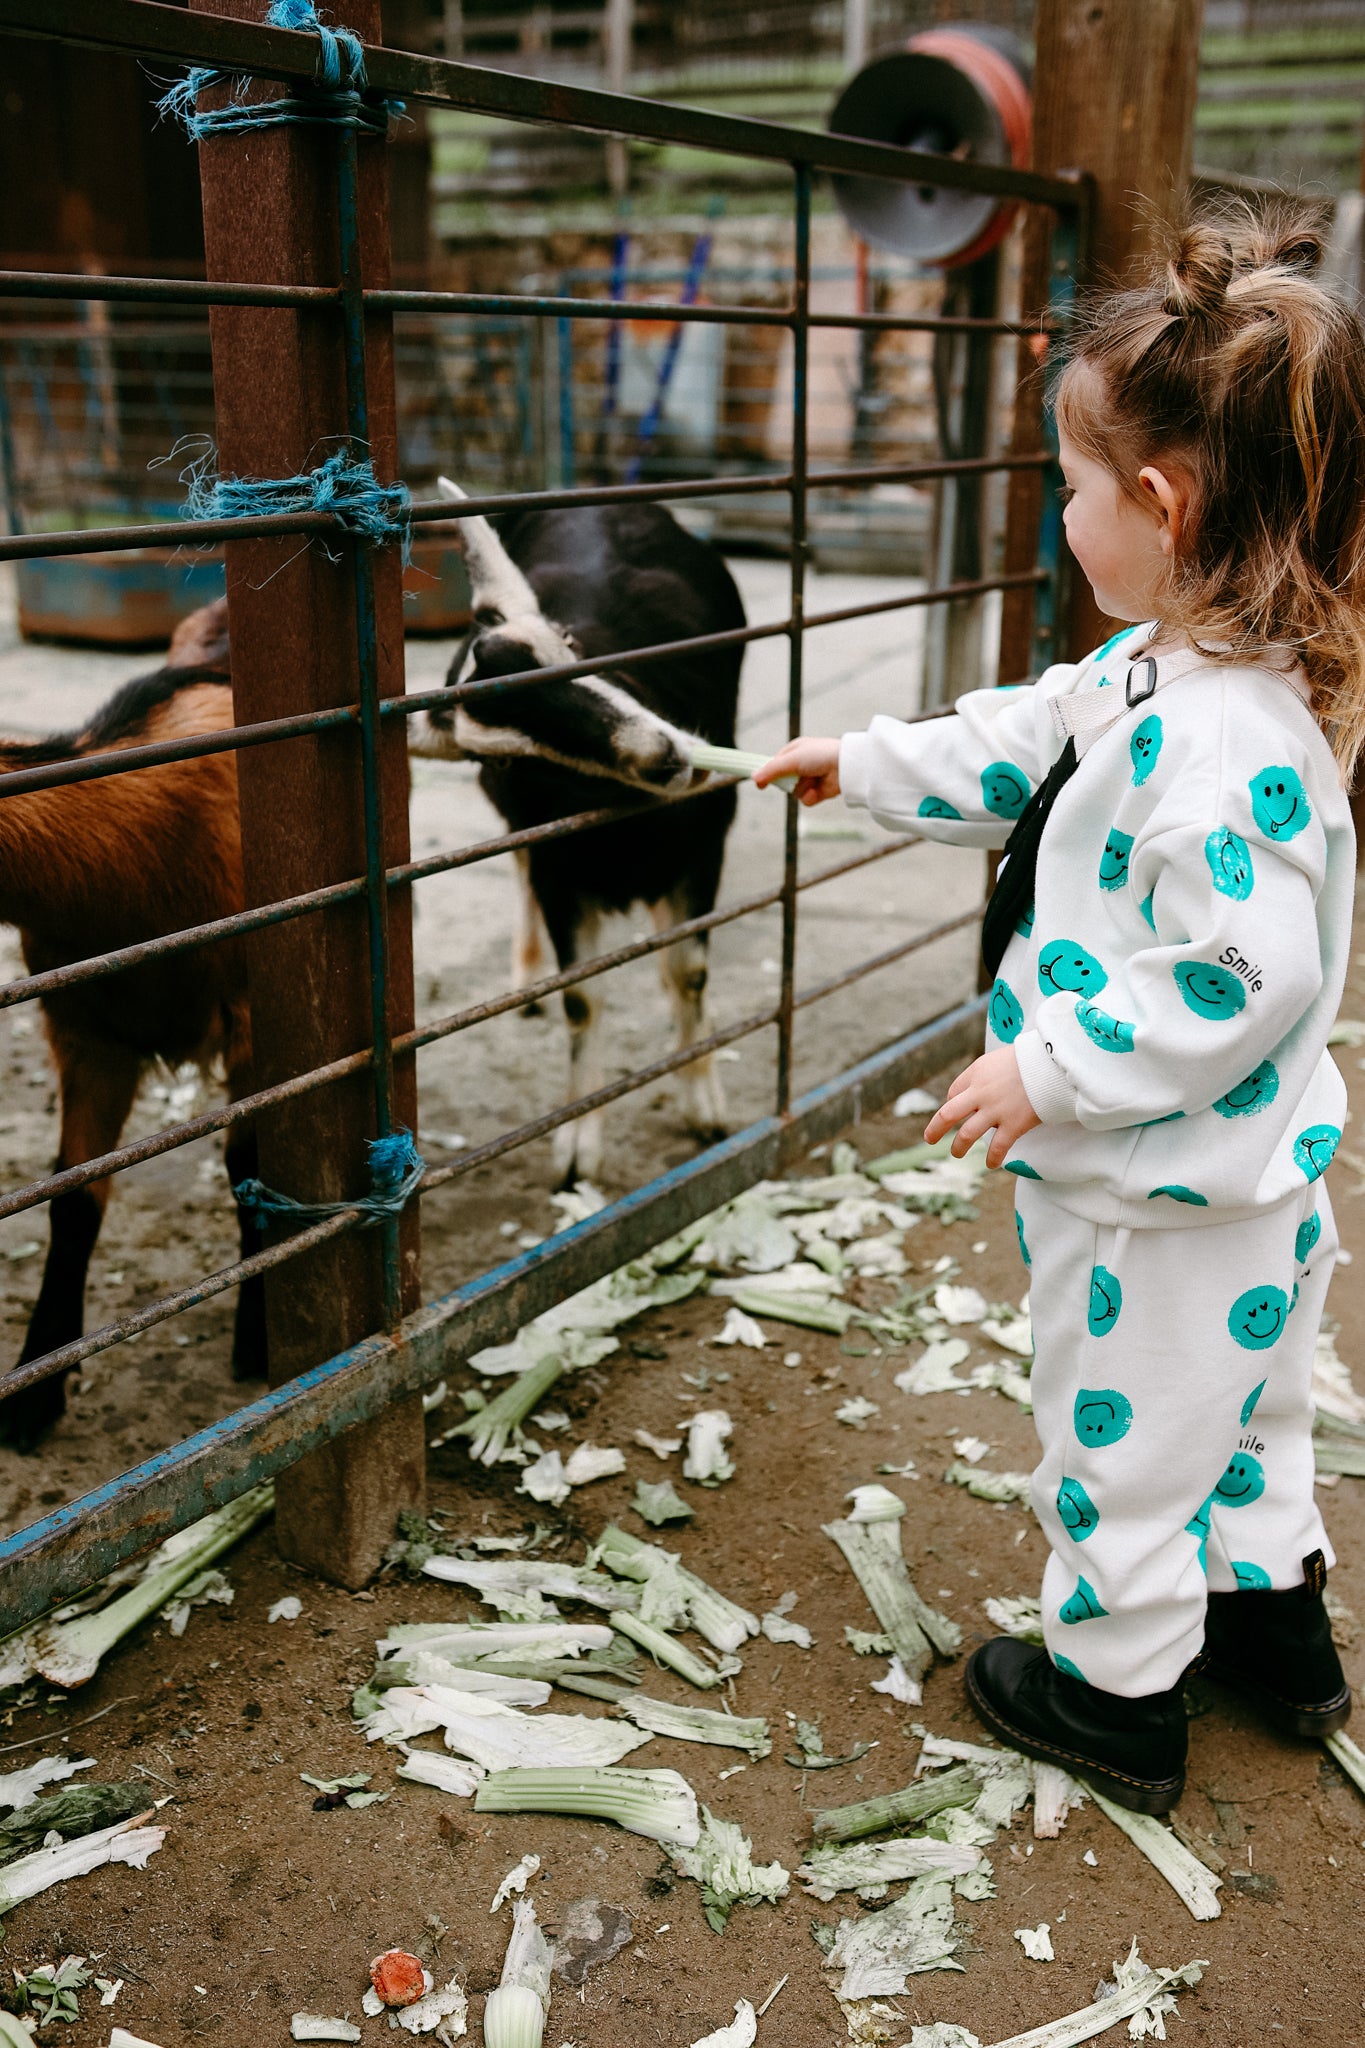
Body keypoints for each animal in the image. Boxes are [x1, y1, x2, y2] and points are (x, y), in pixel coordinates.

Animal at [0, 598, 263, 1449]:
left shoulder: (251, 1018)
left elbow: (249, 1168)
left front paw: (261, 1339)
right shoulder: (88, 1035)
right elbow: (72, 1198)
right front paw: (36, 1386)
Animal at [411, 483, 740, 1187]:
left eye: (569, 645)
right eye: (509, 759)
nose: (662, 755)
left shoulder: (705, 844)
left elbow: (689, 973)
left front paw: (704, 1105)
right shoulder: (558, 871)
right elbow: (583, 999)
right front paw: (577, 1148)